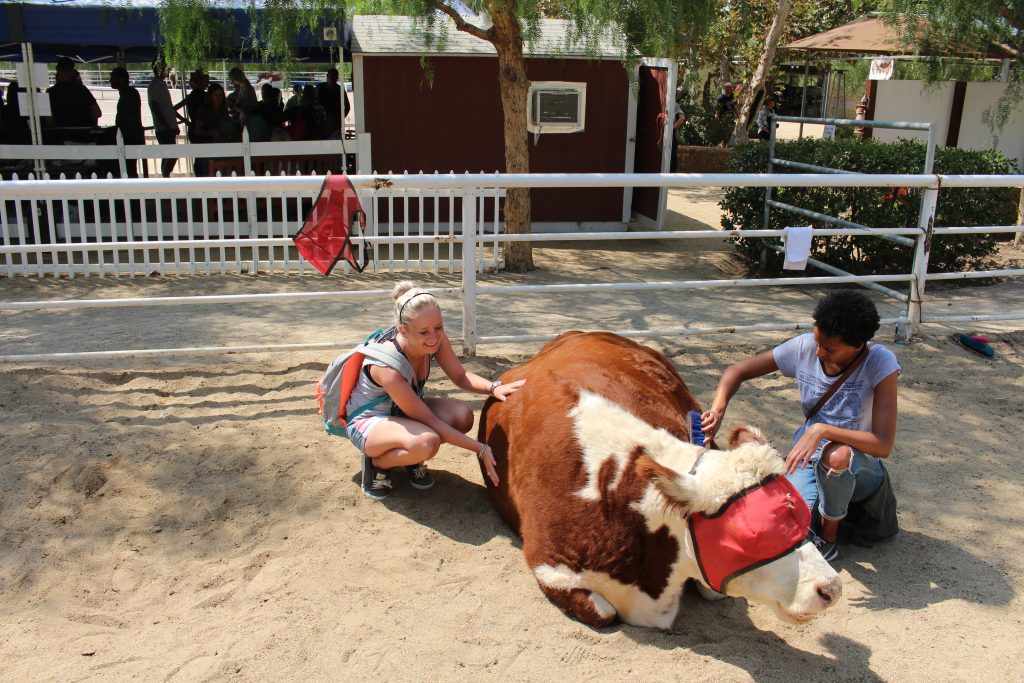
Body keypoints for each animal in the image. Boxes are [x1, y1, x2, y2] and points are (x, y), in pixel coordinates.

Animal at [477, 331, 839, 630]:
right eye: (752, 536)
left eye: (803, 517)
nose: (830, 588)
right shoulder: (551, 565)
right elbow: (602, 612)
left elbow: (715, 592)